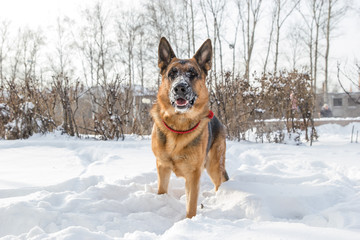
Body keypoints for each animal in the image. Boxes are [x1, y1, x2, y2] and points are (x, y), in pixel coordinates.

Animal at [150, 37, 229, 218]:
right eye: (172, 73)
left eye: (192, 74)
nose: (180, 87)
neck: (179, 126)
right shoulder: (162, 166)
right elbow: (162, 190)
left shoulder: (193, 175)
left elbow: (191, 205)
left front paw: (189, 221)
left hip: (214, 165)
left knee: (219, 182)